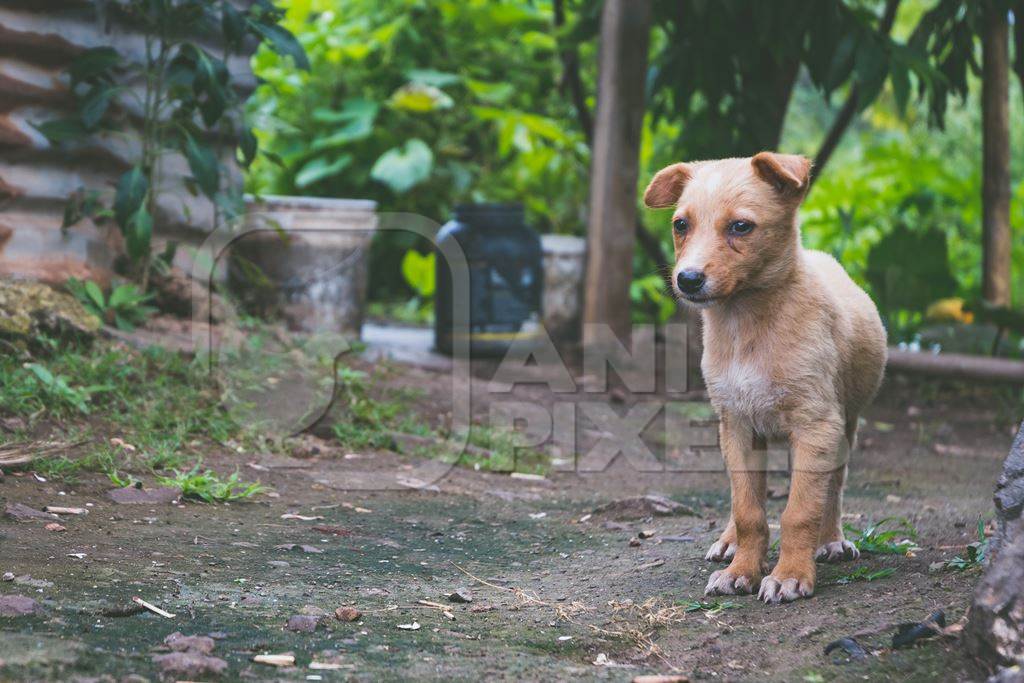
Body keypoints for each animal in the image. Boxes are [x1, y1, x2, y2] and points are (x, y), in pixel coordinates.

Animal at [643, 153, 884, 602]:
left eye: (741, 226)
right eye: (681, 224)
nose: (687, 279)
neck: (746, 323)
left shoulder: (817, 426)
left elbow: (800, 510)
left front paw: (790, 574)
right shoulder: (736, 425)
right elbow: (748, 509)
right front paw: (741, 569)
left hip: (845, 429)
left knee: (833, 487)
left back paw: (831, 540)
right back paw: (728, 541)